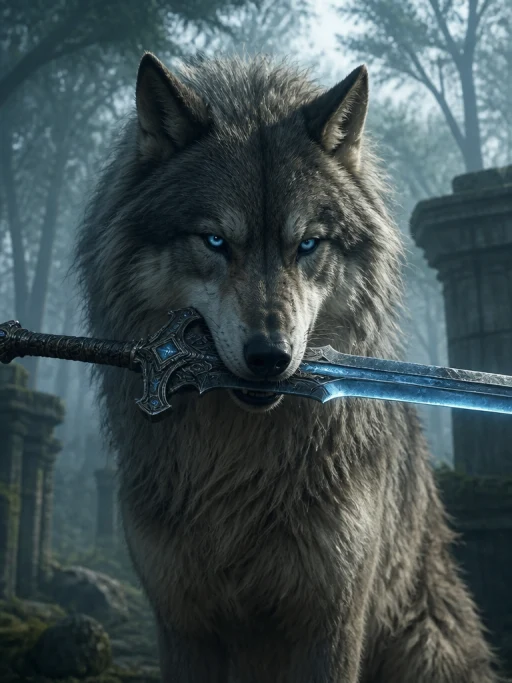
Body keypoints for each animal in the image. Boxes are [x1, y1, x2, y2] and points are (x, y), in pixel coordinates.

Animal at [75, 52, 502, 682]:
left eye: (307, 244)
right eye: (214, 240)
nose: (270, 358)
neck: (237, 470)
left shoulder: (331, 622)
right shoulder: (181, 623)